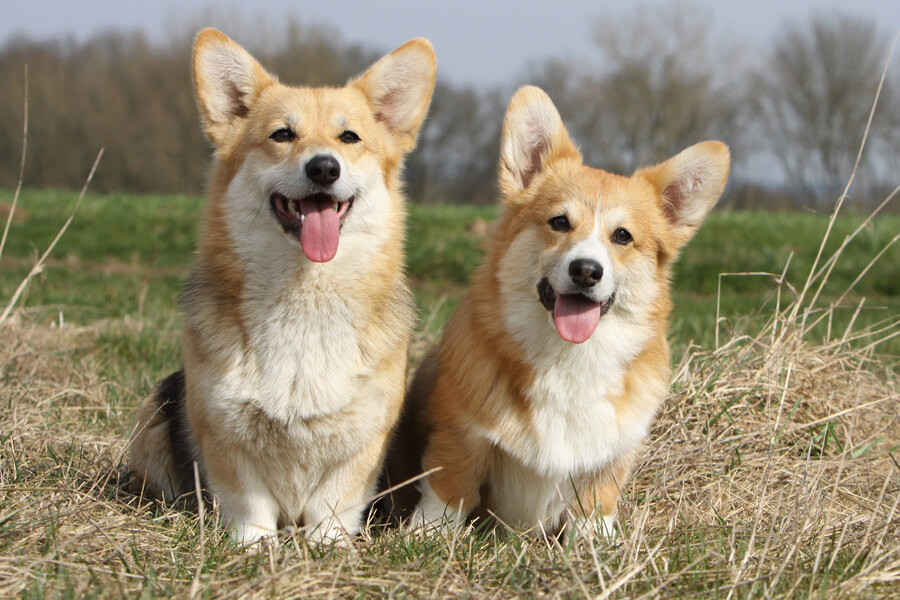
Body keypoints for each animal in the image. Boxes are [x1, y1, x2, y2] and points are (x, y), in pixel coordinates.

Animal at [130, 29, 436, 544]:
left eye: (349, 137)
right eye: (282, 135)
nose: (324, 168)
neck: (302, 294)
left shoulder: (361, 444)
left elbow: (334, 504)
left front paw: (328, 547)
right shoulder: (226, 438)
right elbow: (249, 505)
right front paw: (254, 548)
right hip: (154, 416)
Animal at [386, 85, 732, 540]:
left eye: (623, 236)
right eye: (560, 222)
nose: (586, 270)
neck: (567, 356)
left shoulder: (609, 459)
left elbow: (596, 505)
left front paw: (596, 545)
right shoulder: (460, 435)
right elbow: (448, 492)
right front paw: (427, 537)